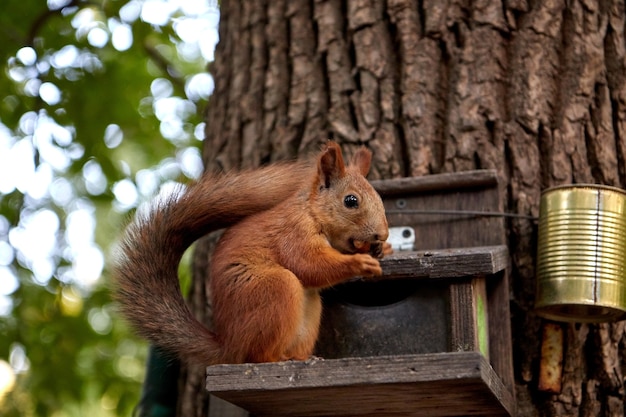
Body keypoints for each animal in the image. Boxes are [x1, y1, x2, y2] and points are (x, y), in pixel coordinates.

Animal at [111, 141, 386, 362]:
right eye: (351, 201)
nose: (382, 234)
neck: (312, 212)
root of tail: (228, 346)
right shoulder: (293, 233)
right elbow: (308, 265)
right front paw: (360, 263)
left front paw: (383, 249)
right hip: (275, 289)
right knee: (257, 355)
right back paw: (277, 359)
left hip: (309, 311)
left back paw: (304, 358)